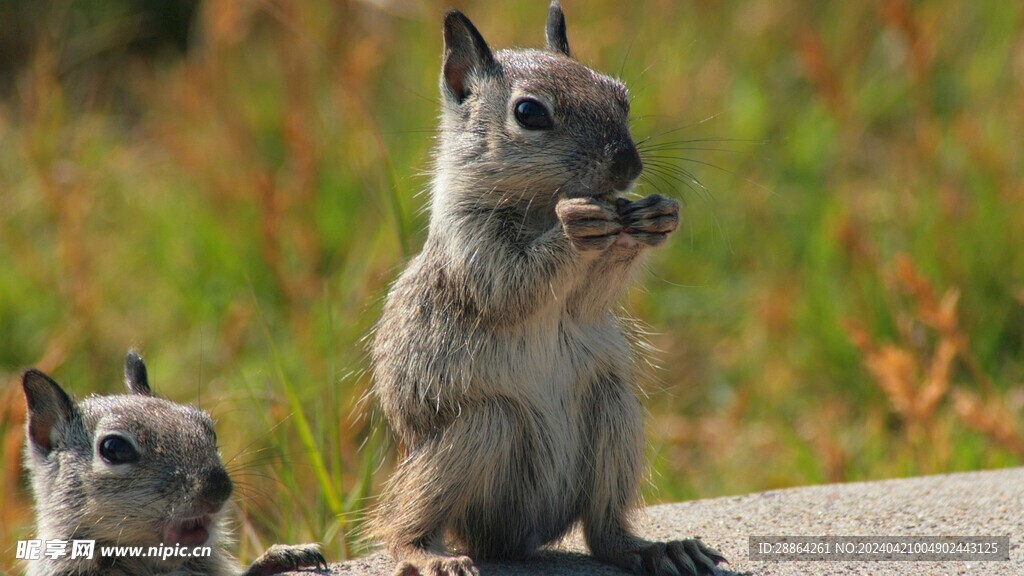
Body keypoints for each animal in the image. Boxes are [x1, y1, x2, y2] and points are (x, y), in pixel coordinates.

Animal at [368, 3, 729, 573]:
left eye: (621, 96)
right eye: (530, 113)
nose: (628, 167)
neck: (540, 204)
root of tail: (522, 539)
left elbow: (588, 298)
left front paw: (657, 217)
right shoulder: (472, 248)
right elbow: (511, 286)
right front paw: (575, 227)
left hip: (613, 412)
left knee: (604, 531)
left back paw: (656, 549)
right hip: (479, 431)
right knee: (404, 521)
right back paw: (427, 554)